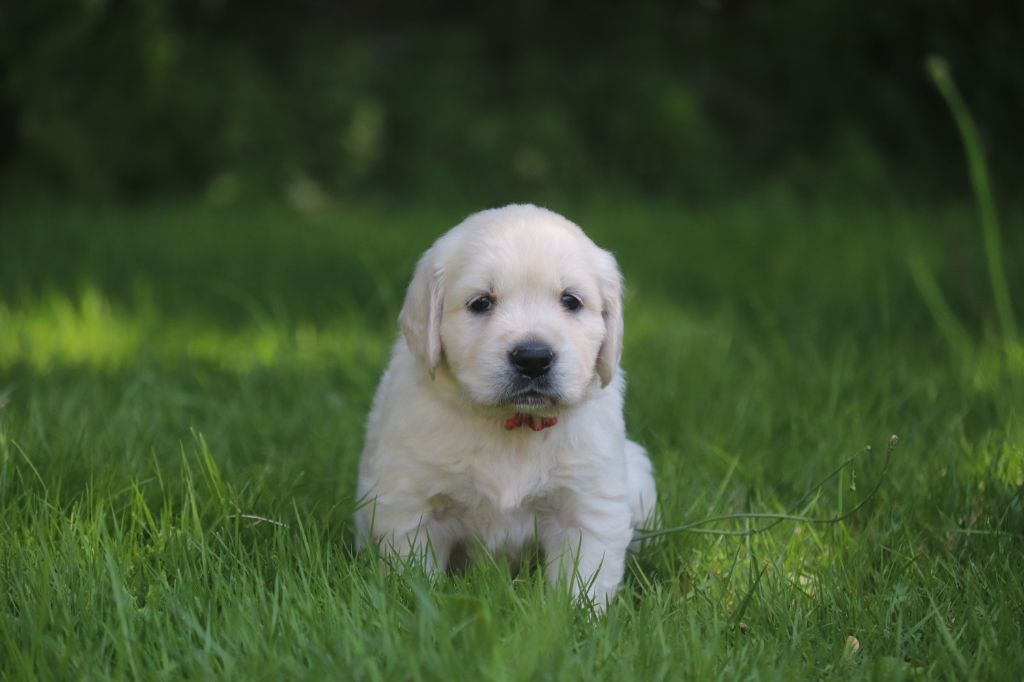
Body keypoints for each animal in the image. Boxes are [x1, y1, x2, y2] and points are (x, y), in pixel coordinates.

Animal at [354, 201, 655, 606]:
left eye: (571, 300)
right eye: (481, 302)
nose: (533, 358)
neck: (514, 423)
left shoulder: (587, 502)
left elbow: (585, 579)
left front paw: (578, 617)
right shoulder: (413, 503)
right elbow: (415, 572)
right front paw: (418, 605)